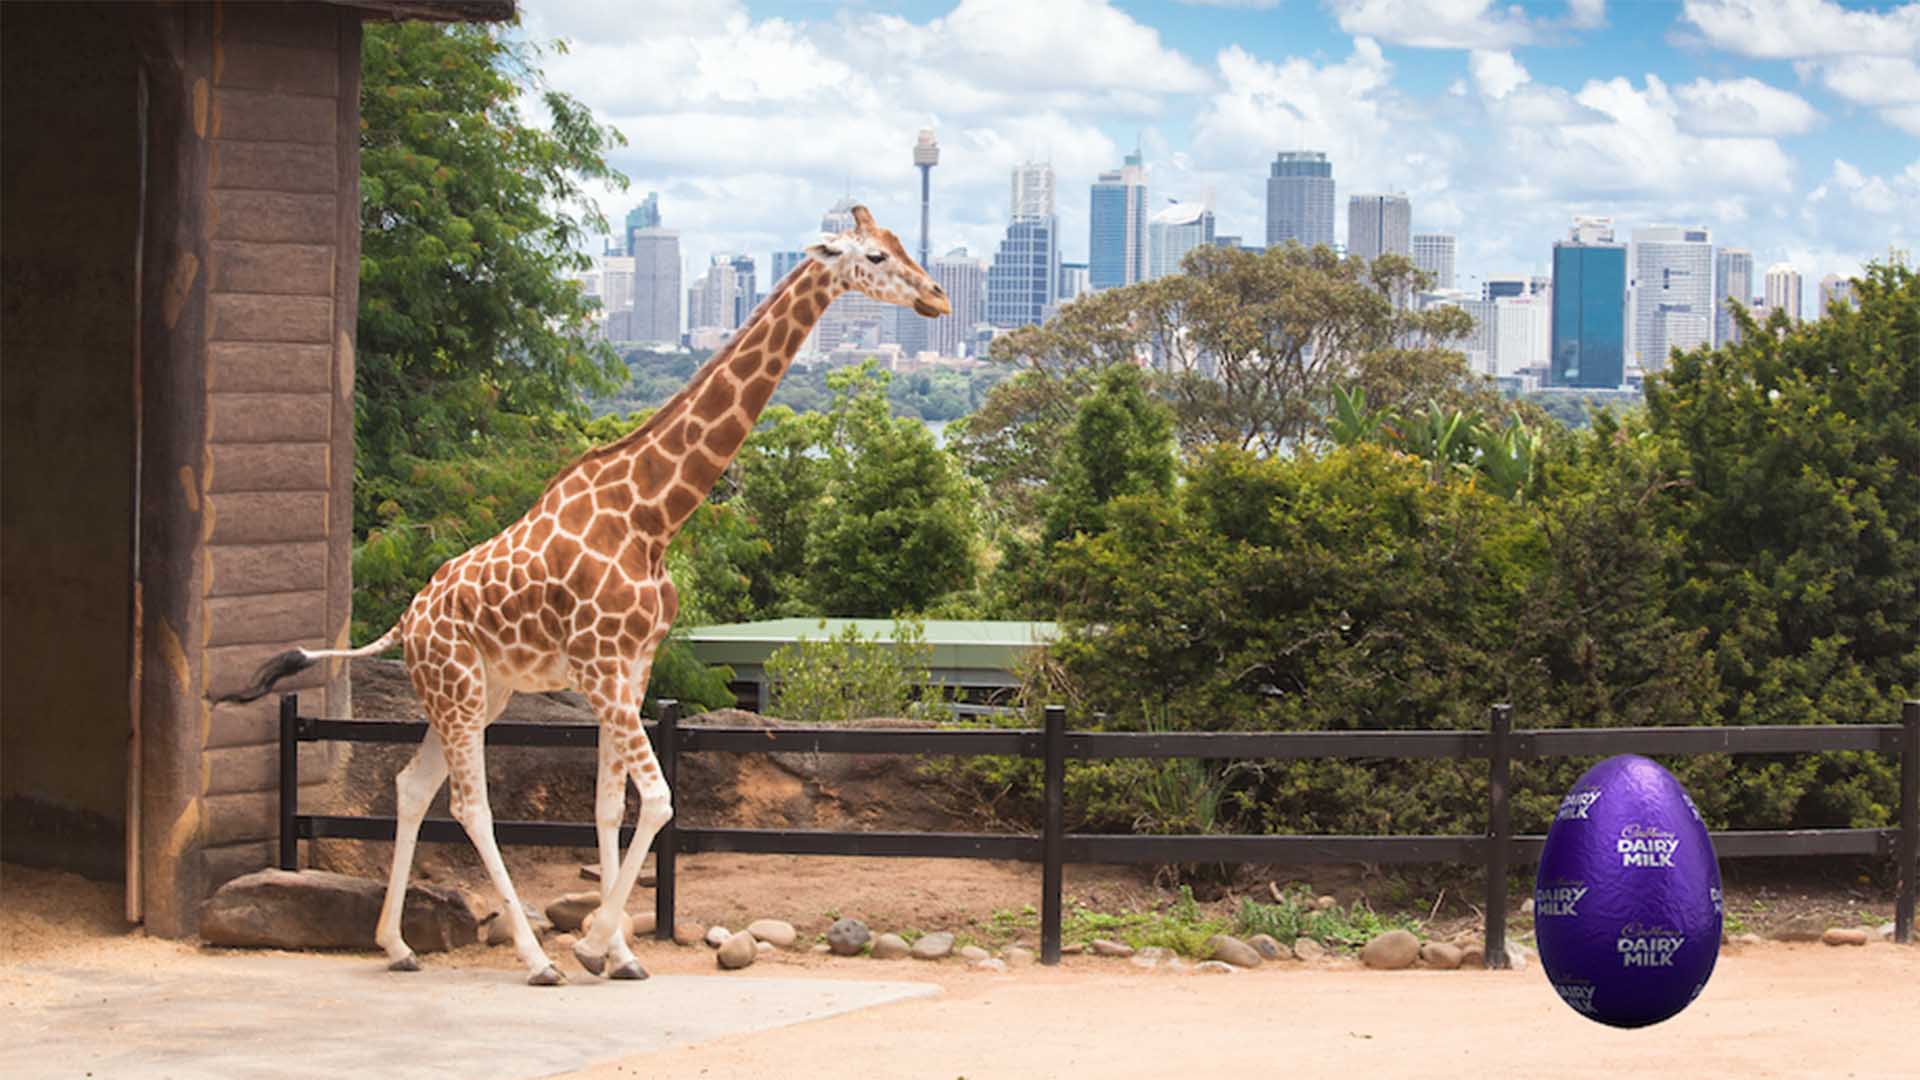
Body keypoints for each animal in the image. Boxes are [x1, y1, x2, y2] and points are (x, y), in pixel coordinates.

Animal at [228, 203, 948, 983]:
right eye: (875, 257)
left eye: (901, 244)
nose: (937, 297)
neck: (652, 516)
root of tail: (404, 624)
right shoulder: (602, 669)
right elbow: (658, 800)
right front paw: (593, 942)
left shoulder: (630, 670)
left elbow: (611, 805)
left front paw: (622, 952)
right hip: (459, 692)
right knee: (470, 804)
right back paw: (533, 956)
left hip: (478, 694)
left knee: (411, 787)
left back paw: (397, 944)